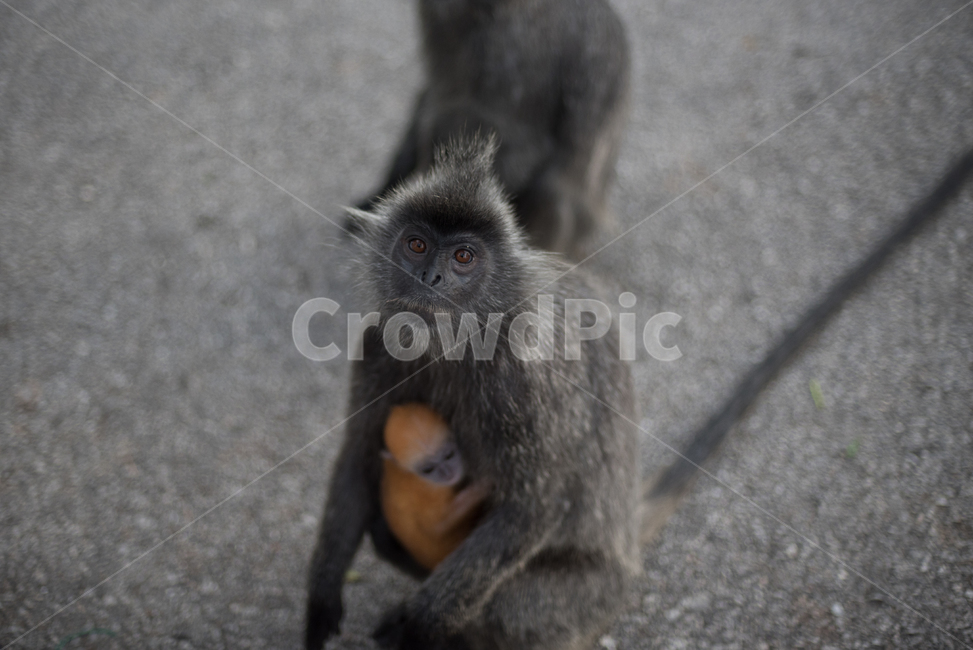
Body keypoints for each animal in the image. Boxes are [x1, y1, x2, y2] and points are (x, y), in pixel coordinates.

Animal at [381, 403, 490, 571]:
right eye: (428, 469)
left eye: (448, 455)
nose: (448, 473)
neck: (407, 474)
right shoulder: (426, 491)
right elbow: (437, 526)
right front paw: (483, 486)